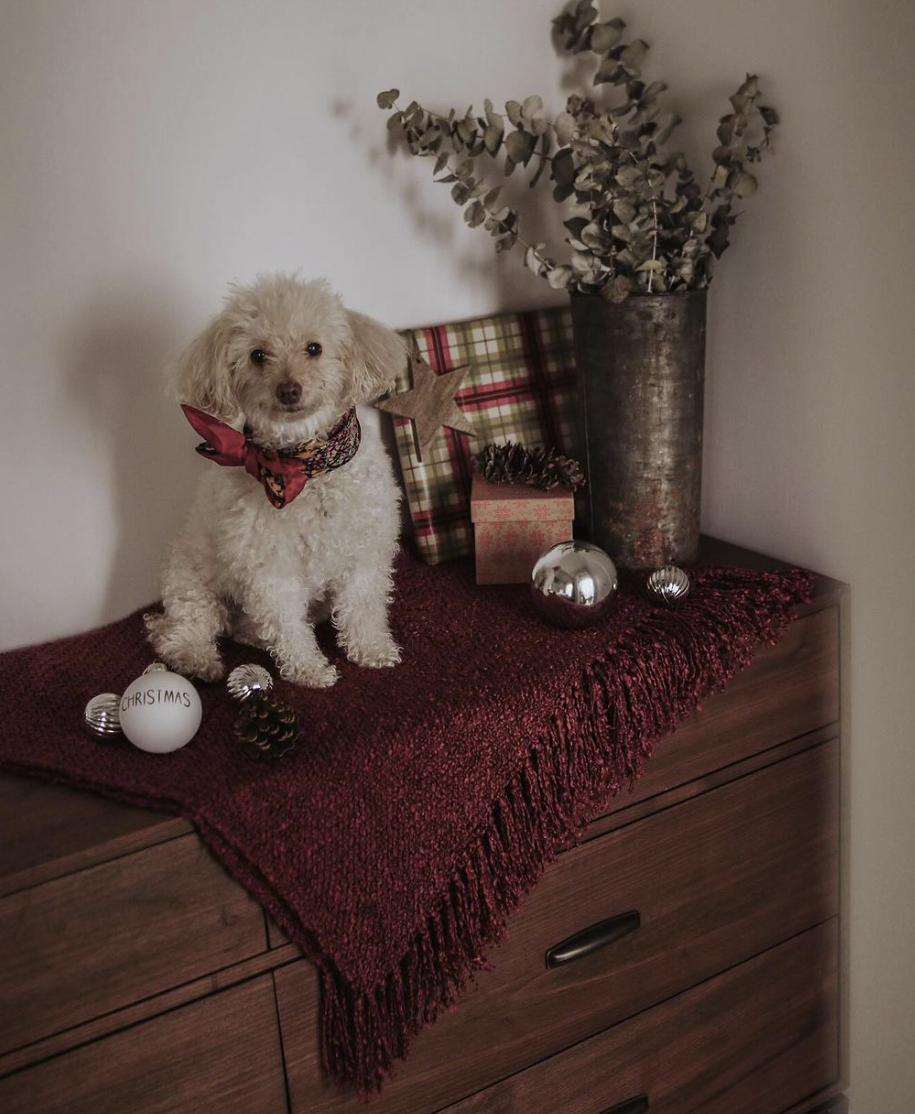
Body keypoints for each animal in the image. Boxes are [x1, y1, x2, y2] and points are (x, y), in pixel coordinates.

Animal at [145, 271, 403, 686]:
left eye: (314, 348)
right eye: (257, 355)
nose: (289, 389)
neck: (305, 467)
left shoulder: (364, 554)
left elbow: (362, 608)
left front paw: (371, 649)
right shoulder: (270, 569)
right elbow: (287, 625)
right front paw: (308, 669)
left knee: (240, 629)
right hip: (190, 584)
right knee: (180, 631)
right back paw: (197, 659)